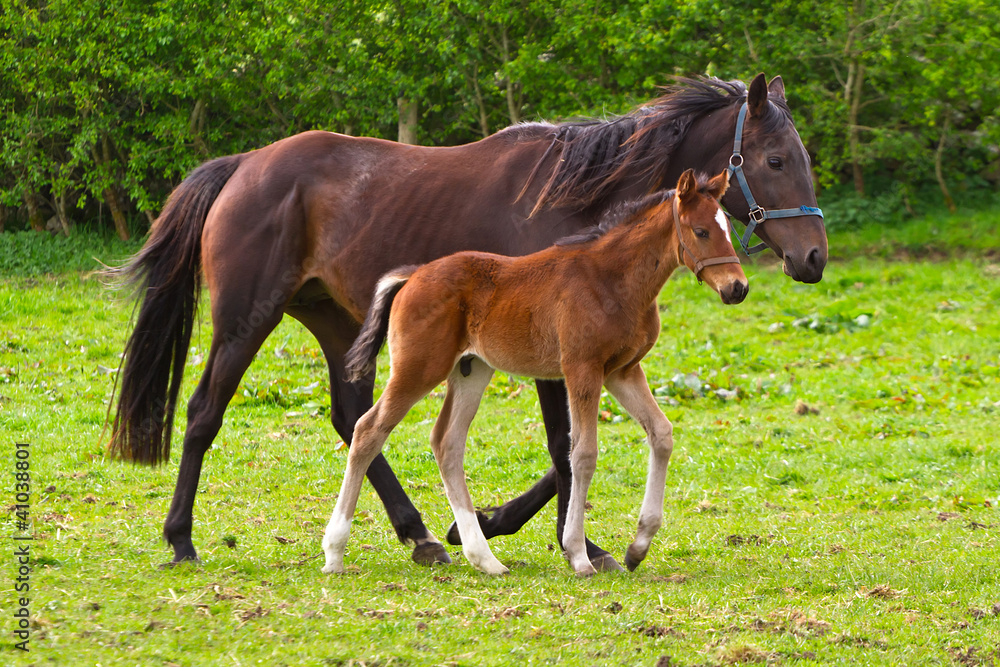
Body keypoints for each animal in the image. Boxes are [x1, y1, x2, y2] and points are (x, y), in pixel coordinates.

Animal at [324, 170, 748, 576]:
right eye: (701, 231)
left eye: (728, 227)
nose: (738, 288)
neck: (612, 280)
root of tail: (411, 276)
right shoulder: (581, 368)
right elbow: (583, 453)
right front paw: (579, 555)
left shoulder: (623, 371)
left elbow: (661, 434)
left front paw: (637, 547)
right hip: (418, 367)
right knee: (368, 429)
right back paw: (335, 552)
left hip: (471, 371)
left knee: (447, 443)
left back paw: (485, 559)